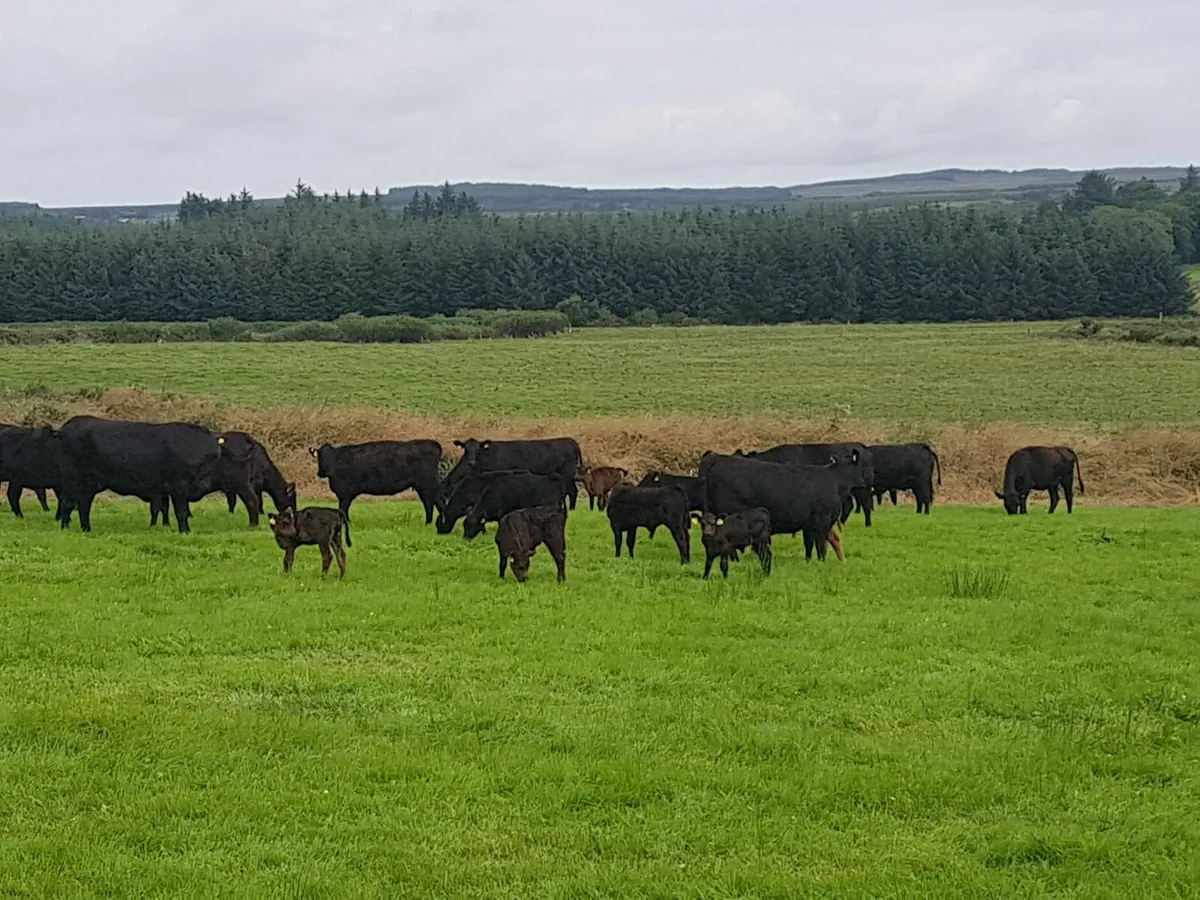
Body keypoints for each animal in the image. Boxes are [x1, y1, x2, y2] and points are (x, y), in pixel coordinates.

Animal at [55, 415, 222, 533]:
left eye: (214, 456)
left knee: (76, 504)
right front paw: (185, 532)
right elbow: (181, 512)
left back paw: (75, 528)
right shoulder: (179, 486)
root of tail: (67, 427)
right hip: (76, 481)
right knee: (76, 504)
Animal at [311, 439, 442, 523]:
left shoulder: (345, 492)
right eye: (319, 457)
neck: (336, 462)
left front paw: (346, 522)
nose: (322, 472)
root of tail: (433, 443)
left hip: (427, 484)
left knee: (431, 501)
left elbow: (343, 508)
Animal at [442, 437, 582, 511]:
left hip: (567, 475)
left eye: (478, 449)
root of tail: (571, 441)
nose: (471, 462)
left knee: (571, 492)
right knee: (573, 491)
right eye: (465, 449)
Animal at [701, 452, 863, 561]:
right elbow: (820, 545)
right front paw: (820, 562)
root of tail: (716, 458)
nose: (865, 481)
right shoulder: (821, 521)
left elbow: (810, 544)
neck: (834, 480)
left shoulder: (810, 524)